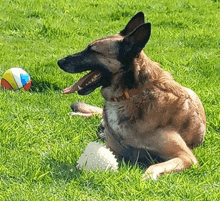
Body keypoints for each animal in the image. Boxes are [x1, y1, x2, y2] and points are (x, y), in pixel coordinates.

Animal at [57, 11, 205, 180]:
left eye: (92, 50)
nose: (59, 61)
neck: (128, 95)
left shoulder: (186, 156)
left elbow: (154, 166)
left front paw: (147, 177)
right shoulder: (112, 148)